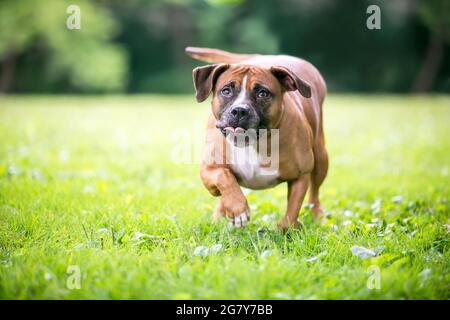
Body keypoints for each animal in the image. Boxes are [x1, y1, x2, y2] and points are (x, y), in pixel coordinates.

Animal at [185, 46, 328, 230]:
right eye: (226, 90)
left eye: (263, 93)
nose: (239, 110)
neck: (252, 143)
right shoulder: (208, 170)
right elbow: (224, 177)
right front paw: (237, 209)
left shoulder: (301, 176)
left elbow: (292, 211)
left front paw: (285, 229)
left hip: (321, 158)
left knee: (315, 193)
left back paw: (319, 217)